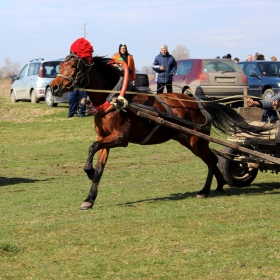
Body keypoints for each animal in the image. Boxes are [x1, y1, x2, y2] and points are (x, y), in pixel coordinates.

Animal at [50, 54, 272, 210]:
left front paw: (88, 172)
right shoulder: (106, 139)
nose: (54, 87)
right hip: (189, 140)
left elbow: (92, 148)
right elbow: (99, 168)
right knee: (213, 159)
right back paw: (218, 186)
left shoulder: (119, 139)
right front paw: (89, 199)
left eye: (73, 67)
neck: (115, 99)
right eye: (60, 66)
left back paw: (205, 190)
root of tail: (199, 103)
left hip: (196, 140)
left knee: (211, 160)